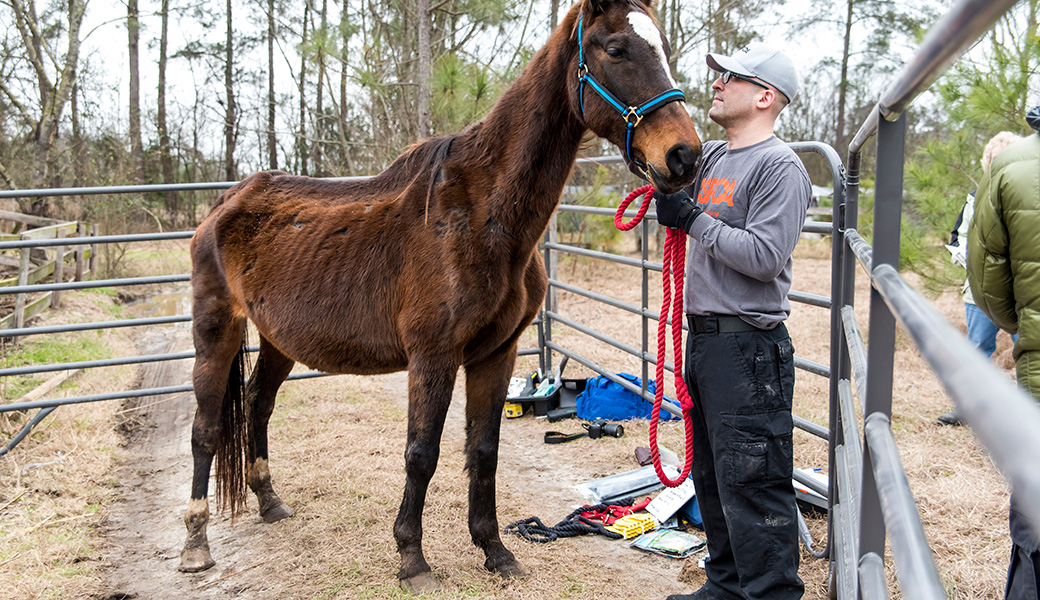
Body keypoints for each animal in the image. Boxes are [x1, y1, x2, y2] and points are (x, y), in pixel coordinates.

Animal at [178, 0, 703, 590]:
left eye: (663, 47)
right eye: (615, 49)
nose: (684, 156)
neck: (482, 215)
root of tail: (225, 203)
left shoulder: (495, 356)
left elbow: (485, 451)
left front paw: (495, 551)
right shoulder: (433, 356)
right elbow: (422, 454)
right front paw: (412, 560)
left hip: (276, 341)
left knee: (259, 406)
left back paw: (269, 502)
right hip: (216, 330)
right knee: (206, 430)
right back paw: (195, 545)